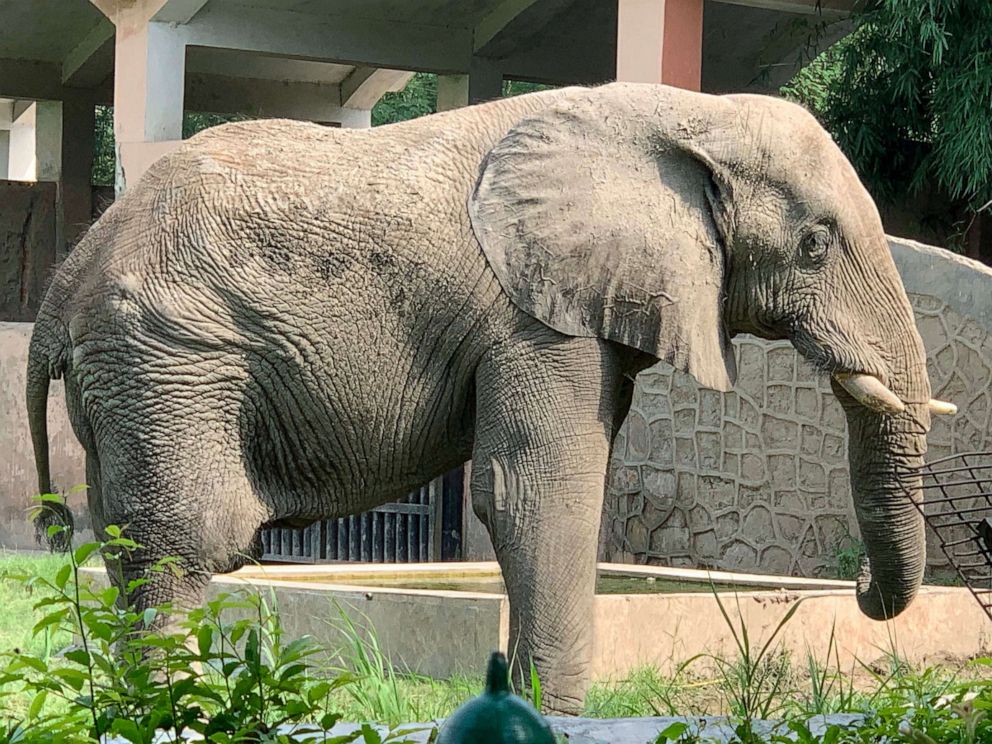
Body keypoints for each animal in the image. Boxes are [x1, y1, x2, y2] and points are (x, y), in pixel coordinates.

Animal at [29, 83, 952, 716]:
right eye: (814, 245)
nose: (858, 589)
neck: (685, 113)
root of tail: (62, 284)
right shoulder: (533, 318)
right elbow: (538, 496)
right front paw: (553, 718)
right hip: (168, 364)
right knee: (182, 549)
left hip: (131, 382)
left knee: (131, 549)